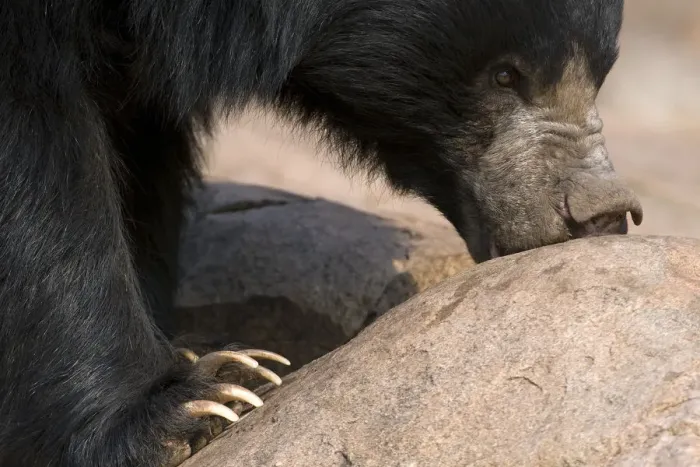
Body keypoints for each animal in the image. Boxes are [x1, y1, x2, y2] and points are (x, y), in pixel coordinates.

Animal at [0, 0, 642, 466]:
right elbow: (37, 151)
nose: (600, 215)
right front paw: (196, 405)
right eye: (506, 74)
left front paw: (224, 367)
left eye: (600, 71)